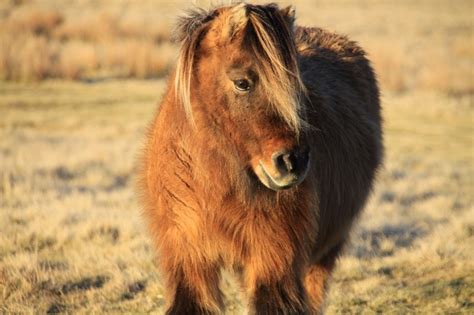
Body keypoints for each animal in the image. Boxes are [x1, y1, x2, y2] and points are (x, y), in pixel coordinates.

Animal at [139, 1, 384, 314]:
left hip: (324, 251)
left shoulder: (274, 262)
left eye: (296, 84)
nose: (293, 163)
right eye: (242, 82)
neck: (211, 183)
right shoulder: (188, 261)